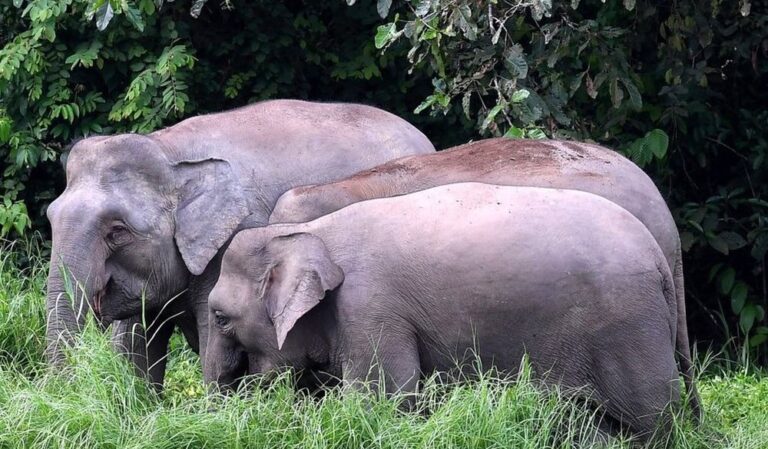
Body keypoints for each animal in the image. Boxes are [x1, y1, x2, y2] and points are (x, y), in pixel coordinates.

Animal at [44, 99, 435, 387]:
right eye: (50, 216)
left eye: (117, 231)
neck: (168, 150)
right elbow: (134, 344)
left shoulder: (230, 243)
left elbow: (209, 338)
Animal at [205, 182, 686, 442]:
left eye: (220, 317)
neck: (312, 232)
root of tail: (660, 256)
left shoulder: (370, 309)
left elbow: (381, 403)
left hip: (627, 328)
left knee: (657, 418)